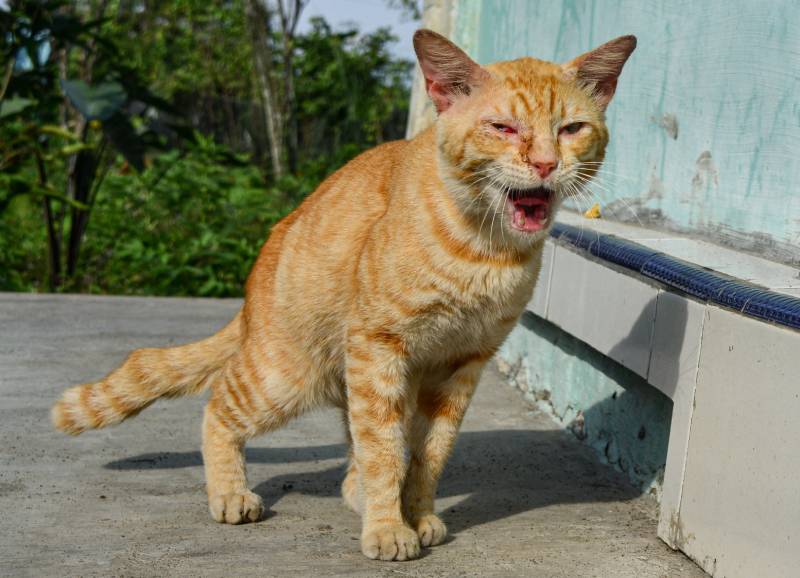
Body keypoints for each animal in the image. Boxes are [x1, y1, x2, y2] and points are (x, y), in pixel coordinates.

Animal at [53, 28, 636, 560]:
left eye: (571, 129)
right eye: (503, 127)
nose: (545, 164)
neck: (486, 253)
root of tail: (251, 297)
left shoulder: (462, 365)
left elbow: (428, 454)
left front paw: (416, 514)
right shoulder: (380, 346)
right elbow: (385, 451)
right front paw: (388, 529)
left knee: (351, 452)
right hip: (283, 377)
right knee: (219, 406)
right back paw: (232, 493)